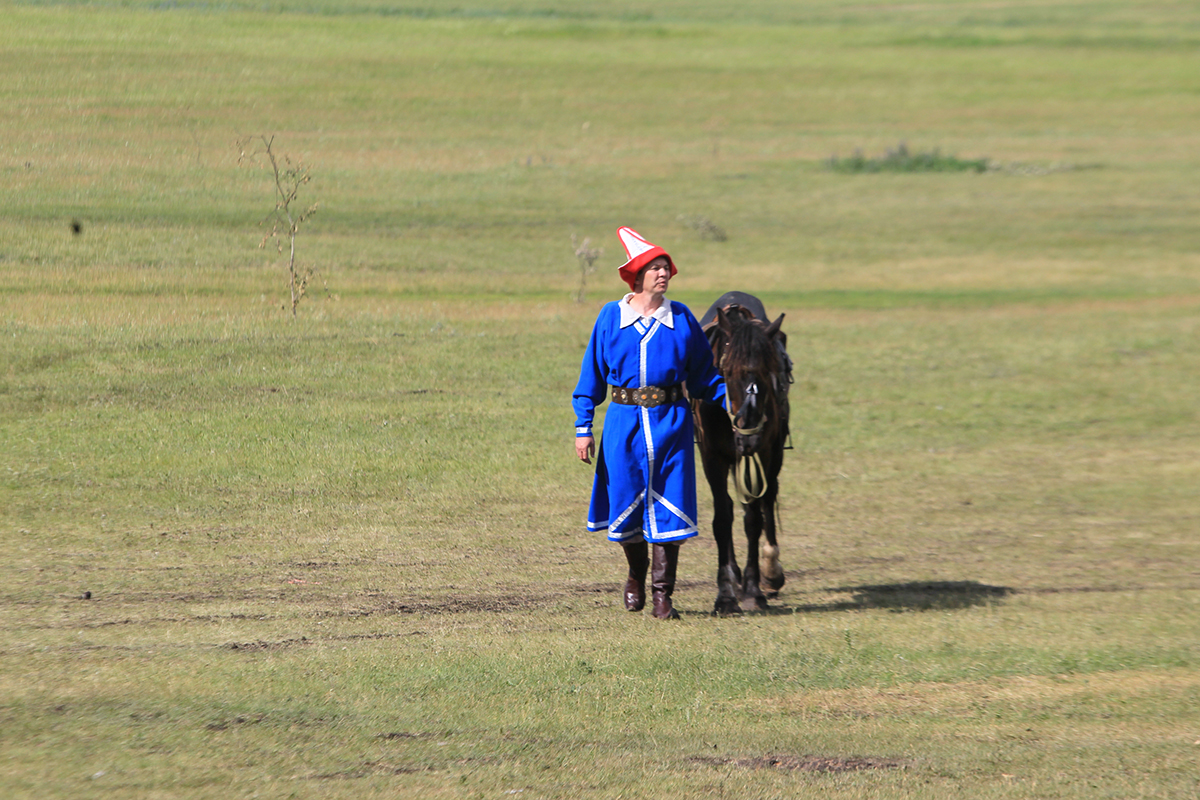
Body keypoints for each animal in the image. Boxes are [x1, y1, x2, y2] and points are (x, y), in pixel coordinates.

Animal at [691, 291, 792, 618]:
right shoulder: (712, 456)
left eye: (767, 370)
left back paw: (771, 573)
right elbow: (722, 518)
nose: (748, 432)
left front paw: (753, 590)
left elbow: (753, 518)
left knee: (768, 498)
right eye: (727, 371)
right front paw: (725, 593)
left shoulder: (764, 451)